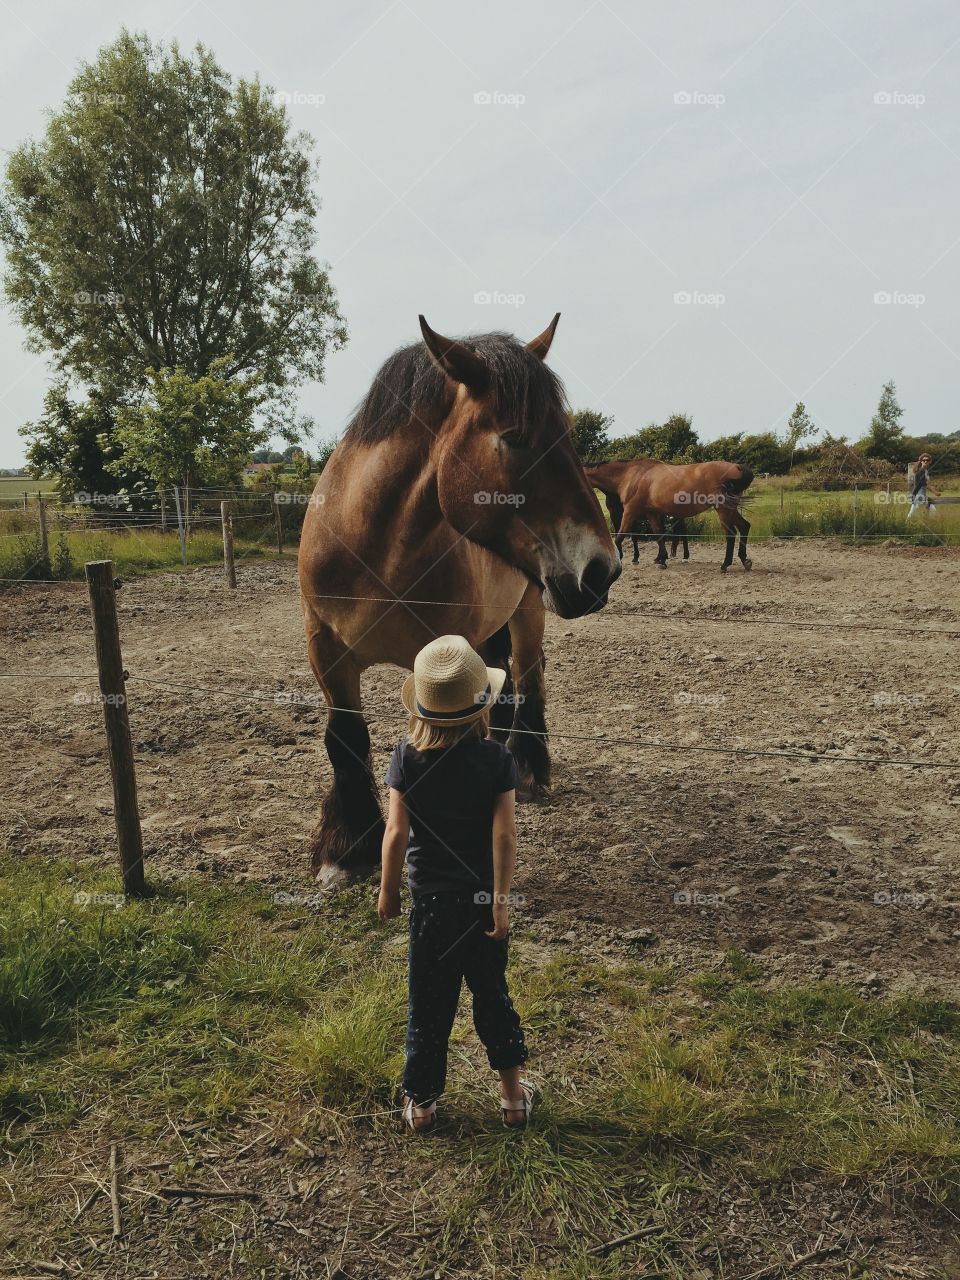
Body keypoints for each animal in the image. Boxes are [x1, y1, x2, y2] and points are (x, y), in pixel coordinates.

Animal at [296, 314, 619, 885]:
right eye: (515, 438)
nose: (602, 571)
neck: (373, 548)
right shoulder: (326, 650)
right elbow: (345, 738)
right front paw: (347, 848)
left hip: (528, 612)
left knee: (528, 680)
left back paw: (528, 768)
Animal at [583, 460, 757, 570]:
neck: (632, 475)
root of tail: (737, 467)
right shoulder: (651, 513)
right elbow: (659, 535)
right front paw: (662, 560)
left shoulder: (630, 511)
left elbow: (620, 537)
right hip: (731, 508)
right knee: (744, 527)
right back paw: (745, 560)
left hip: (723, 509)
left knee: (731, 534)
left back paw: (725, 564)